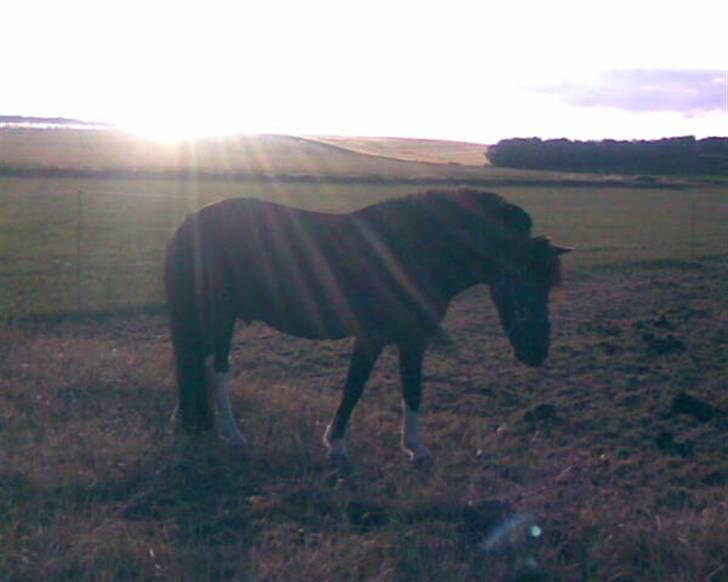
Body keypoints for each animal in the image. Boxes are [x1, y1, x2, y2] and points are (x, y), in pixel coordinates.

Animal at [164, 189, 568, 464]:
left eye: (549, 284)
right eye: (519, 278)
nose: (537, 351)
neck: (416, 249)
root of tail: (190, 224)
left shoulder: (407, 337)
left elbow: (404, 388)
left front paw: (408, 447)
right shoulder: (381, 337)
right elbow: (362, 387)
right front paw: (344, 444)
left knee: (202, 366)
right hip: (220, 316)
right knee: (216, 369)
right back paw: (231, 434)